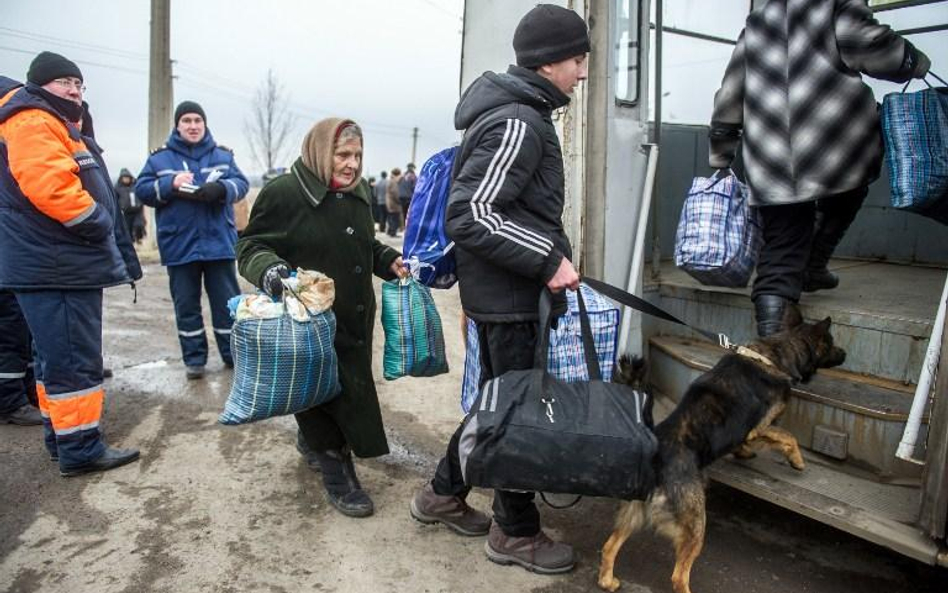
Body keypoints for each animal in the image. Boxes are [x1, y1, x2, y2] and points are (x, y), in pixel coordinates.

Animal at [596, 316, 848, 588]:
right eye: (831, 342)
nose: (845, 354)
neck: (772, 355)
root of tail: (655, 454)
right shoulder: (759, 427)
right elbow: (788, 436)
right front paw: (797, 461)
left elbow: (749, 443)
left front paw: (745, 454)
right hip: (696, 522)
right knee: (678, 576)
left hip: (635, 512)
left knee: (609, 546)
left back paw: (607, 581)